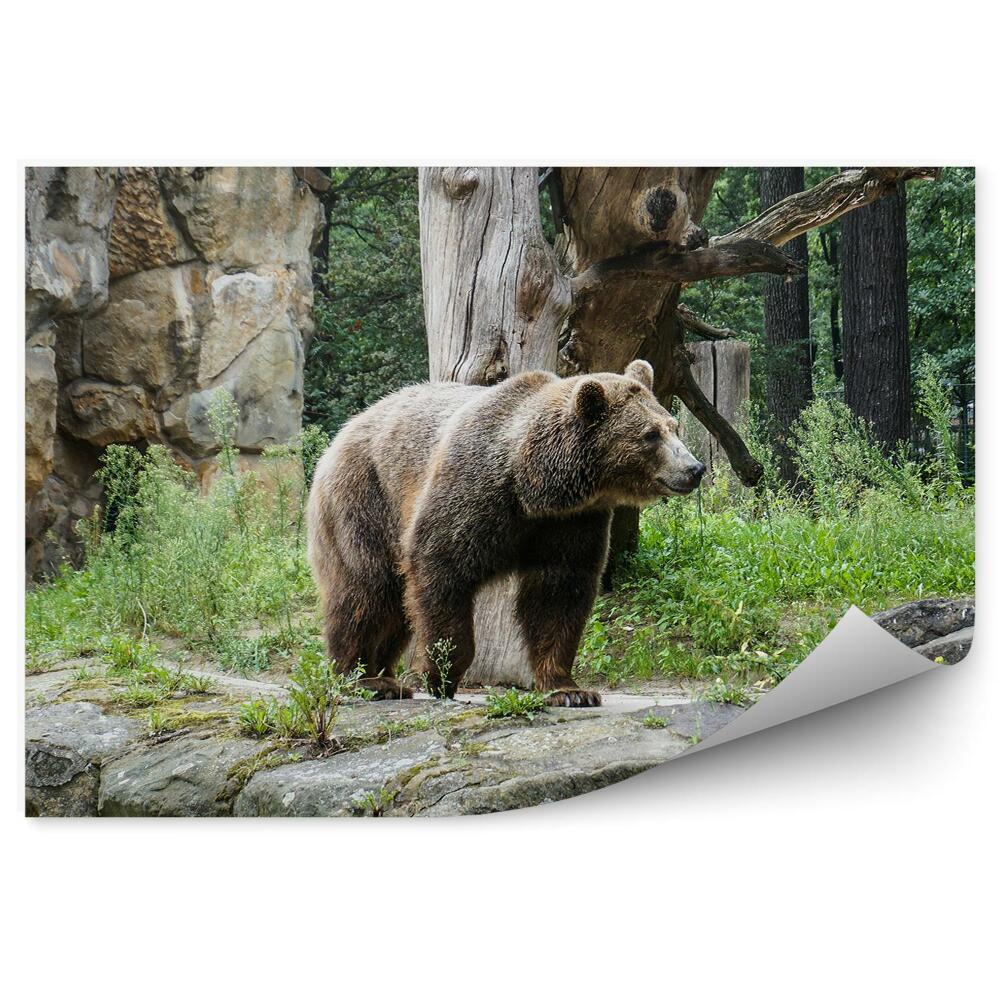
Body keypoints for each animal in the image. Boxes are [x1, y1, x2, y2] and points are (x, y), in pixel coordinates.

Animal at [306, 359, 705, 707]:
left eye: (673, 426)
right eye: (650, 435)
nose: (694, 468)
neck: (534, 487)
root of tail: (347, 428)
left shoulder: (570, 523)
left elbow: (558, 596)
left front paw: (569, 690)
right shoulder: (472, 495)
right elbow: (441, 568)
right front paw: (441, 675)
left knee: (393, 605)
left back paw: (384, 676)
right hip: (364, 498)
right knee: (365, 590)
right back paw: (364, 678)